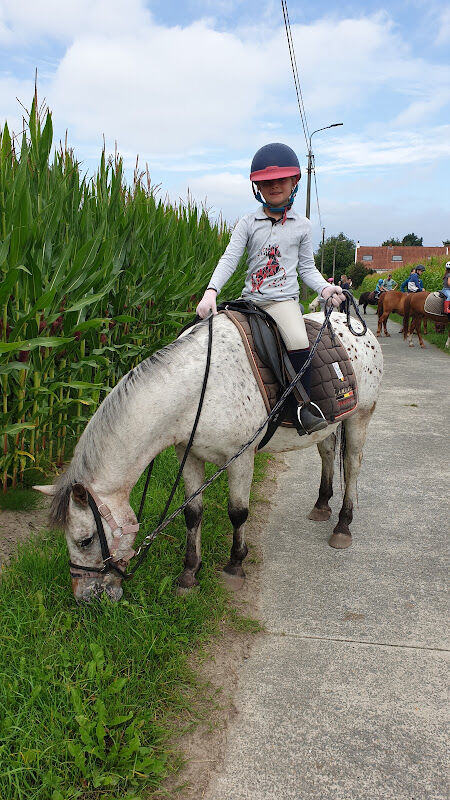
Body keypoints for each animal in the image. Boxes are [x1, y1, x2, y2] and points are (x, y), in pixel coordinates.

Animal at [34, 312, 384, 600]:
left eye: (84, 540)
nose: (85, 597)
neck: (199, 389)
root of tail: (355, 323)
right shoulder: (187, 455)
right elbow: (192, 513)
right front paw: (189, 573)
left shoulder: (241, 458)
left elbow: (238, 513)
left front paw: (234, 566)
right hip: (329, 427)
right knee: (327, 454)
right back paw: (322, 505)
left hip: (360, 416)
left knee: (352, 466)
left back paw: (342, 526)